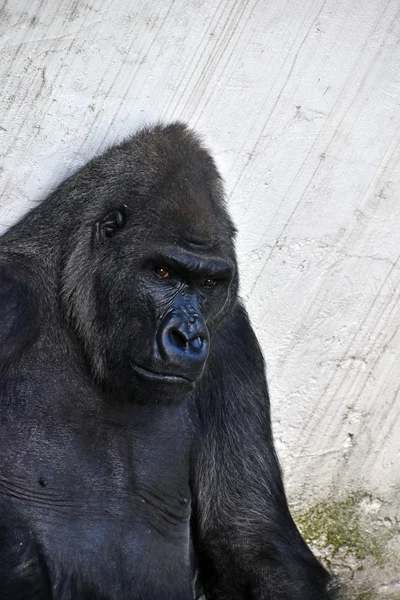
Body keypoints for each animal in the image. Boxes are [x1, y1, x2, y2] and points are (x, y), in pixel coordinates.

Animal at [0, 123, 338, 600]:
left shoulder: (233, 343)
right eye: (163, 273)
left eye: (208, 283)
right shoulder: (8, 297)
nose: (190, 337)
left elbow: (250, 535)